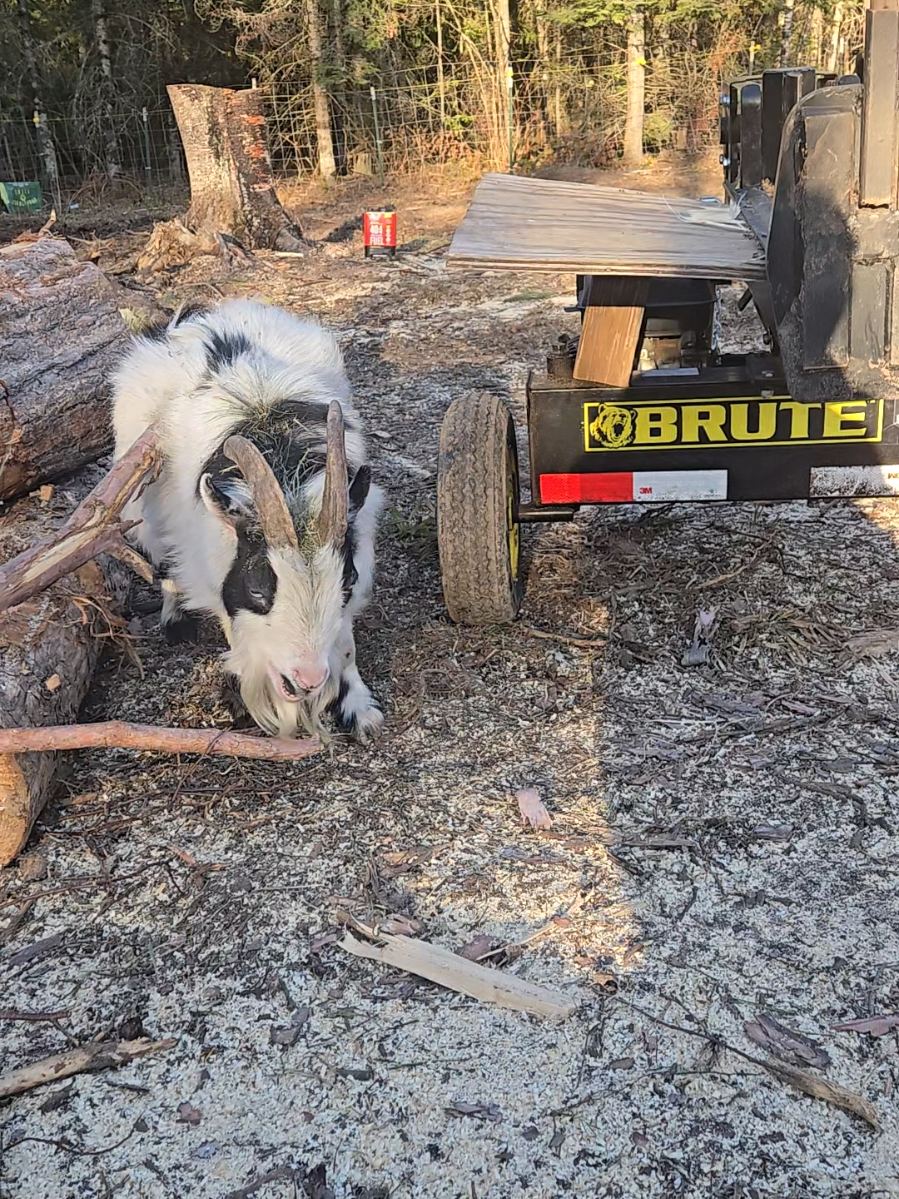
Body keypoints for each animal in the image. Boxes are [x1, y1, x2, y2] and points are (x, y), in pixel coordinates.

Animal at [111, 298, 385, 741]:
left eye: (346, 580)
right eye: (258, 588)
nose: (307, 680)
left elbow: (345, 644)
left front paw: (361, 711)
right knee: (161, 561)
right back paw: (175, 621)